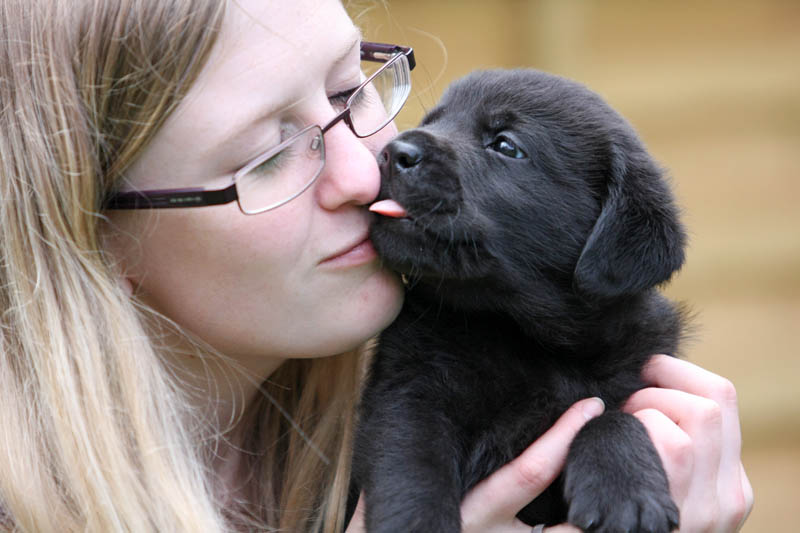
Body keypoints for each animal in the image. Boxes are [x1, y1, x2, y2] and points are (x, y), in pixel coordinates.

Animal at [354, 68, 692, 528]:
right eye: (432, 121)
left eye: (505, 146)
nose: (393, 152)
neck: (524, 334)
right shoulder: (407, 394)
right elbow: (412, 472)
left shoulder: (635, 375)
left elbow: (611, 415)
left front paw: (626, 490)